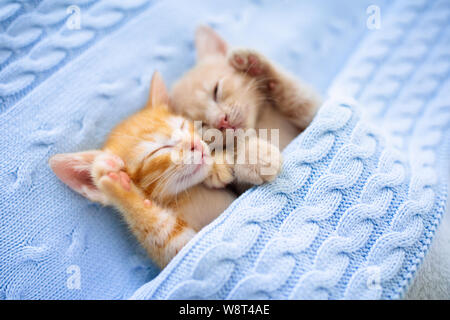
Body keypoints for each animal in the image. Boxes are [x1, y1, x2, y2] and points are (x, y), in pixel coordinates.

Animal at [48, 72, 274, 268]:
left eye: (182, 126)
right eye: (159, 150)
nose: (195, 144)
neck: (187, 194)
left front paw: (240, 160)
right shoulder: (185, 250)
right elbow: (165, 235)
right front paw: (117, 186)